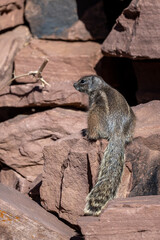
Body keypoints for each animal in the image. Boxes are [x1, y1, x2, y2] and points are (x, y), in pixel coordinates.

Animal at [73, 75, 136, 216]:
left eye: (83, 81)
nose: (74, 84)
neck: (100, 86)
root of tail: (118, 131)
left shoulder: (93, 100)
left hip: (94, 113)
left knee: (95, 132)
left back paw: (87, 133)